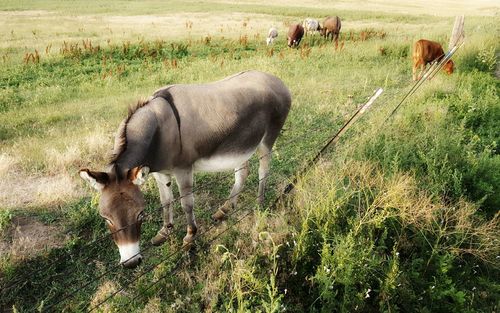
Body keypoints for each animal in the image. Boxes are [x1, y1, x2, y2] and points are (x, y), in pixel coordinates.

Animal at [79, 70, 292, 268]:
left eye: (140, 214)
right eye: (106, 218)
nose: (131, 263)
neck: (159, 131)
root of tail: (275, 78)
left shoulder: (183, 170)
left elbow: (186, 204)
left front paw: (190, 238)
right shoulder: (160, 172)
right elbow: (166, 201)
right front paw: (164, 232)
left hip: (267, 138)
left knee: (263, 170)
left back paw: (260, 203)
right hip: (240, 144)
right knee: (242, 172)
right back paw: (225, 209)